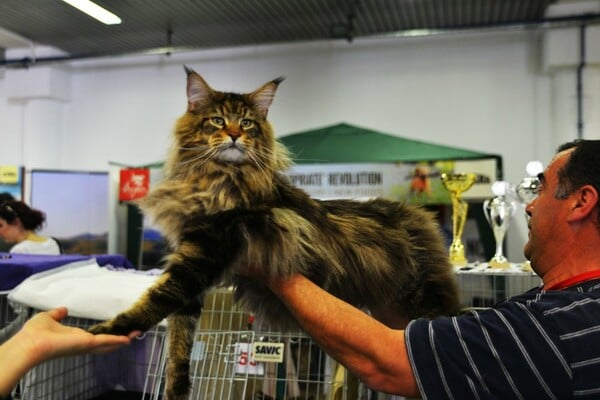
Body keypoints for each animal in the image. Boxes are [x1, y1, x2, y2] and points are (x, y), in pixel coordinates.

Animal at [90, 67, 460, 398]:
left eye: (247, 123)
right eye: (217, 121)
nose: (235, 135)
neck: (218, 178)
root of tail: (419, 216)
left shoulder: (205, 253)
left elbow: (157, 299)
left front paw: (108, 330)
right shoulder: (193, 260)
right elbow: (180, 338)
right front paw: (176, 388)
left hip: (422, 304)